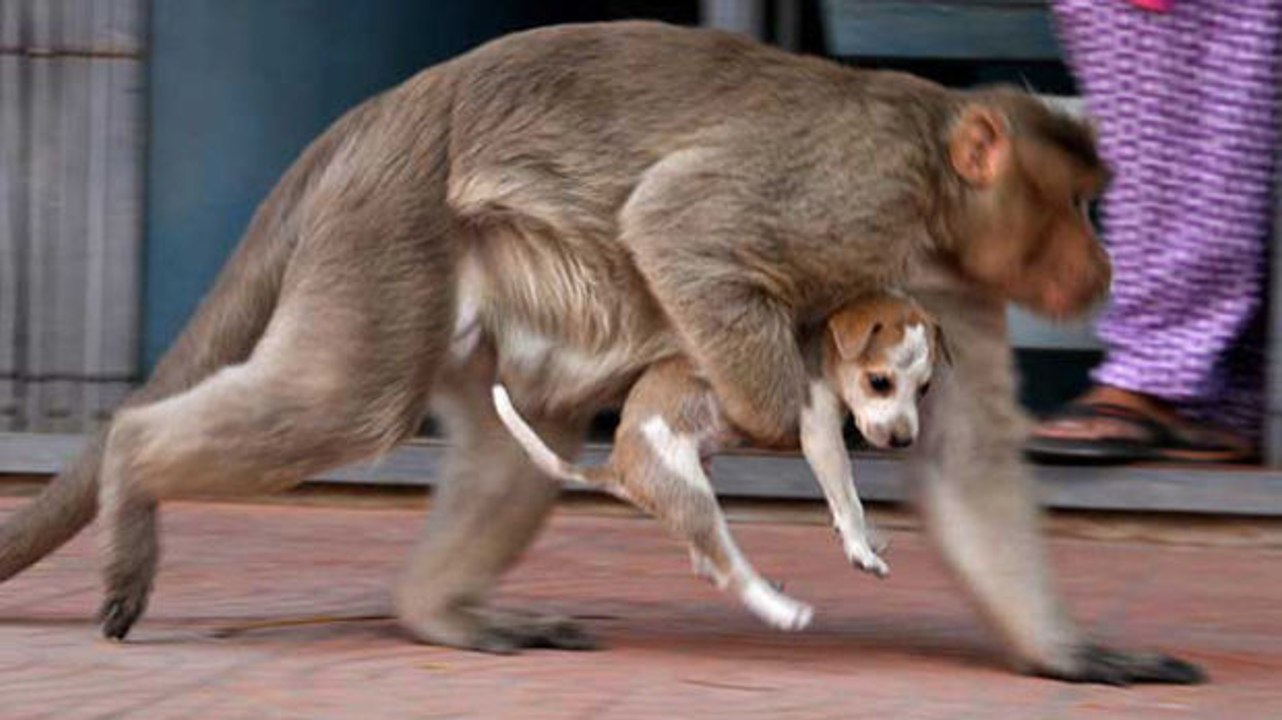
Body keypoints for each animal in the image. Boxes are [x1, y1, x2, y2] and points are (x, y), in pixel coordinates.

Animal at [489, 292, 943, 627]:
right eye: (880, 382)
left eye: (923, 389)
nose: (904, 440)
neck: (820, 346)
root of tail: (617, 465)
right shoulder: (820, 434)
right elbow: (849, 498)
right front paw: (861, 550)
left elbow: (846, 499)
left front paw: (869, 536)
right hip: (692, 496)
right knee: (728, 569)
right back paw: (782, 611)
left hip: (699, 481)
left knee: (707, 563)